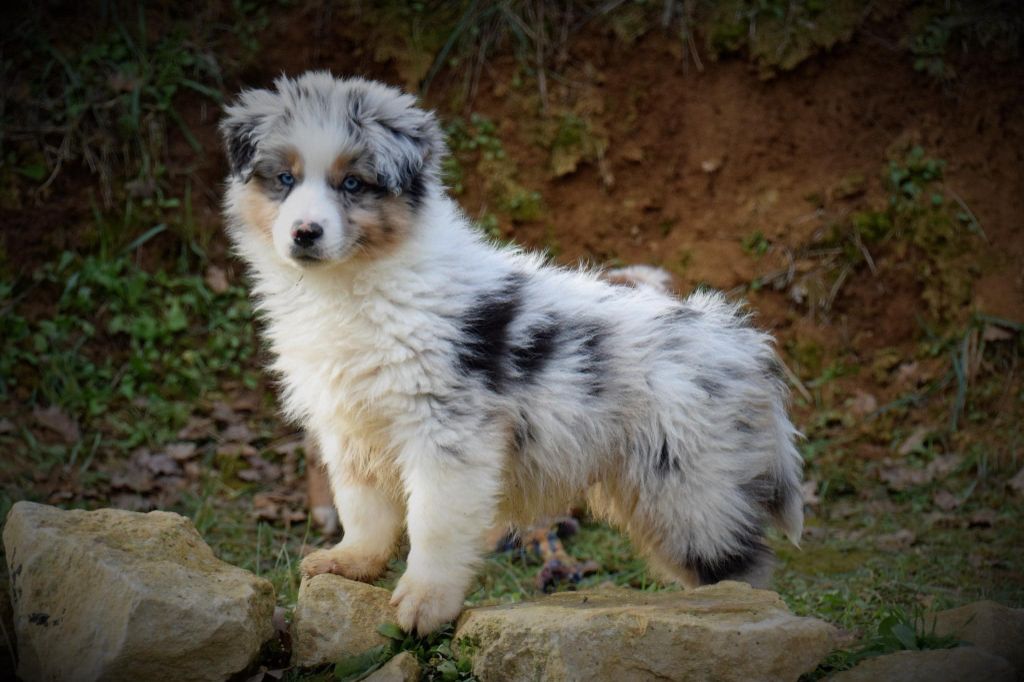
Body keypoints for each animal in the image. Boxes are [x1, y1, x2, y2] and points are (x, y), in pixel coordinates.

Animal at [220, 71, 802, 634]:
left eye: (353, 184)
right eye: (285, 179)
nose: (305, 233)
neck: (353, 286)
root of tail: (742, 343)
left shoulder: (448, 431)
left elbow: (434, 523)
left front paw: (425, 603)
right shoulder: (350, 427)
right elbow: (364, 508)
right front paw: (351, 562)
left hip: (691, 487)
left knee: (739, 566)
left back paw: (733, 612)